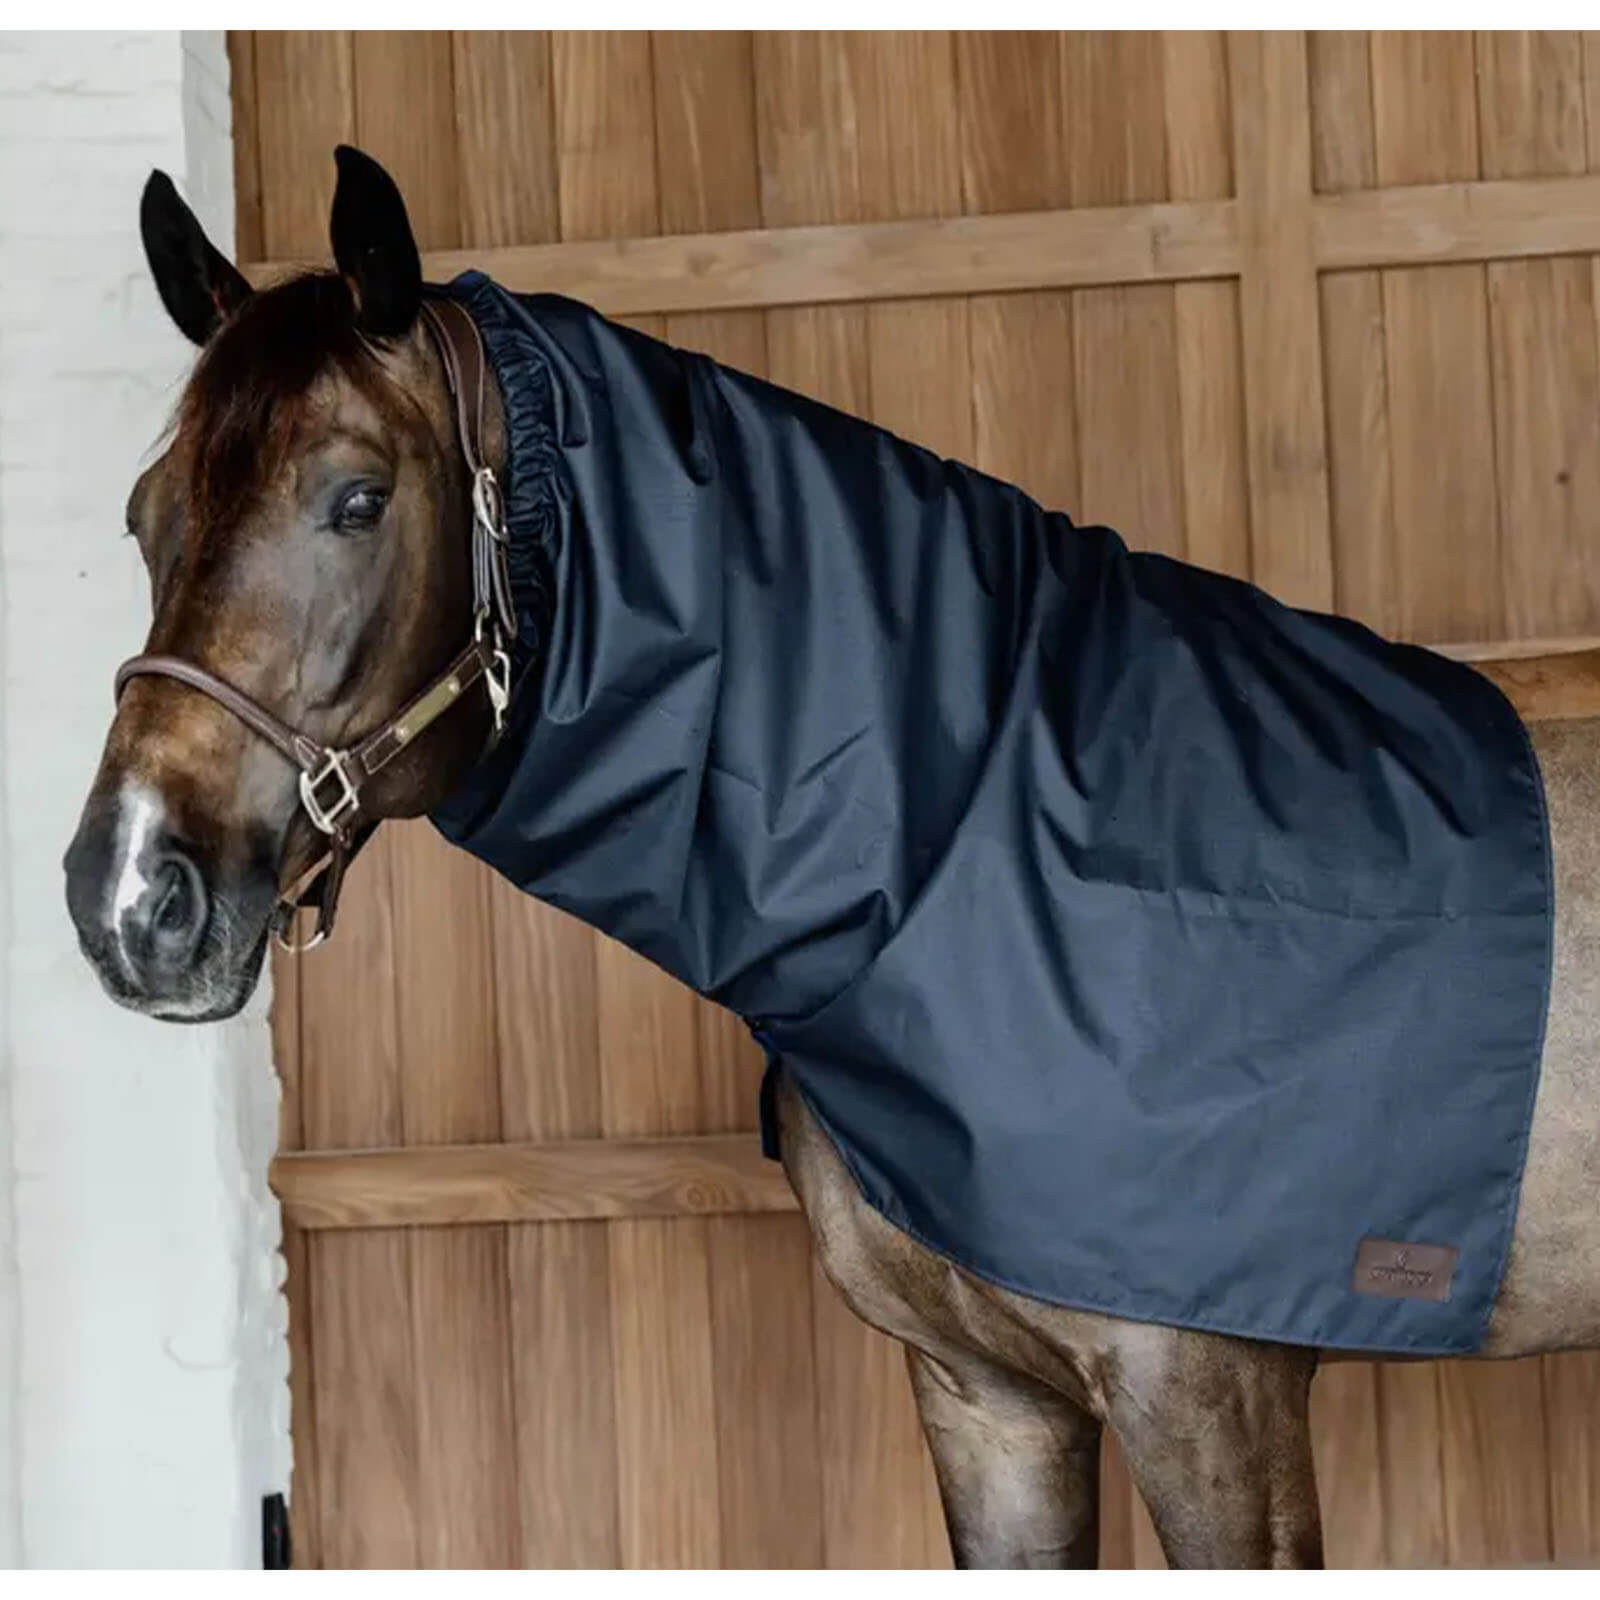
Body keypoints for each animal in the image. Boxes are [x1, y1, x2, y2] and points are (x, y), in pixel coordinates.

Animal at [62, 145, 1600, 1570]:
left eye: (358, 500)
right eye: (144, 514)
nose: (129, 893)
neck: (972, 831)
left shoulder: (1213, 1403)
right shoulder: (987, 1402)